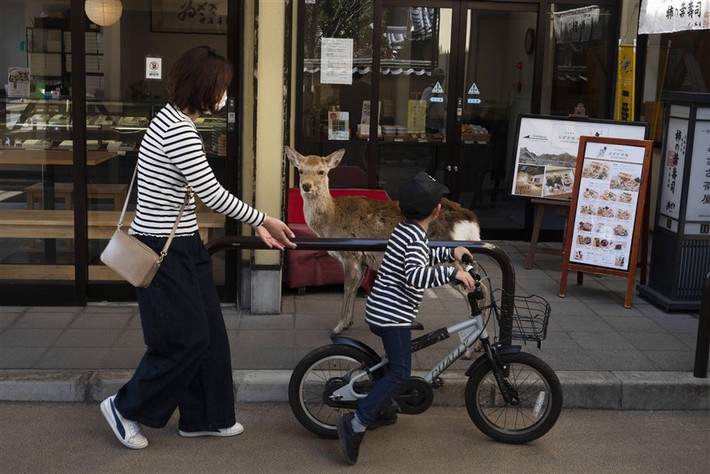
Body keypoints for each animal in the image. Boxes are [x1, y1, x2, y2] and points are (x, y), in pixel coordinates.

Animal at [286, 148, 486, 348]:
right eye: (301, 170)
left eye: (322, 171)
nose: (306, 186)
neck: (332, 220)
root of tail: (470, 220)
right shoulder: (363, 260)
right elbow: (356, 287)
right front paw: (349, 321)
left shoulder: (351, 255)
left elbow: (347, 287)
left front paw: (338, 327)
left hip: (446, 258)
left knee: (474, 288)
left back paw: (474, 345)